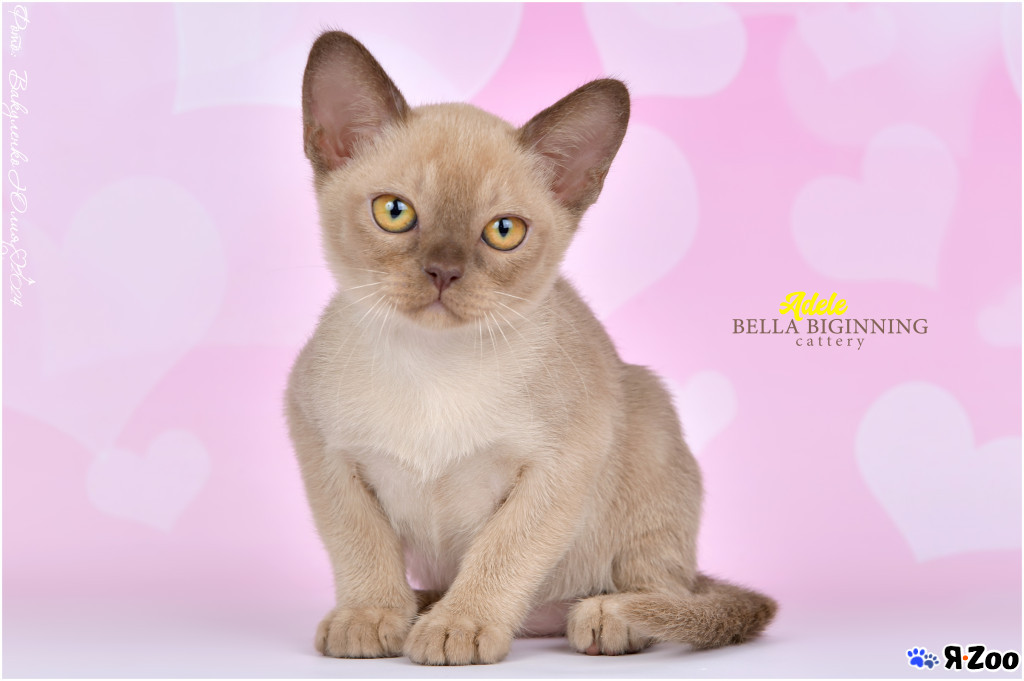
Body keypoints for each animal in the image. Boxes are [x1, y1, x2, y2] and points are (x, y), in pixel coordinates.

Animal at [286, 30, 777, 666]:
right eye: (394, 213)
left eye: (504, 232)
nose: (443, 272)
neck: (433, 365)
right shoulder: (324, 450)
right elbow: (360, 542)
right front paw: (371, 615)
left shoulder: (561, 463)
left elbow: (504, 551)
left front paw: (462, 626)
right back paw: (420, 606)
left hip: (648, 414)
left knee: (664, 590)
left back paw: (606, 617)